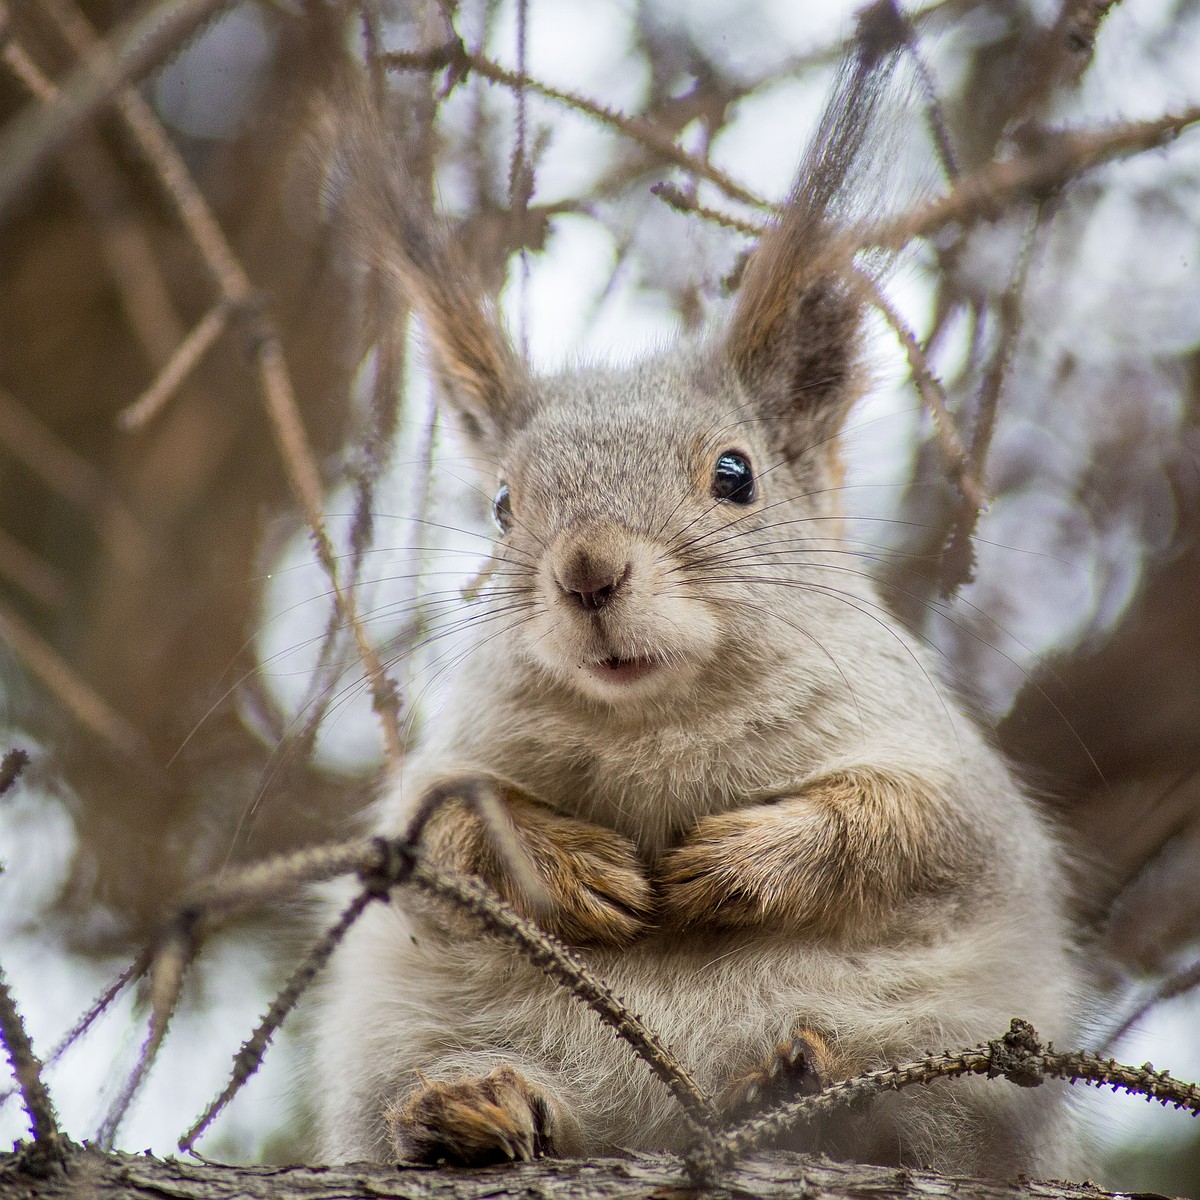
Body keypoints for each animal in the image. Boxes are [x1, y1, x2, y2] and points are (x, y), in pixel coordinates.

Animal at [314, 2, 1084, 1180]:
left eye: (736, 474)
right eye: (502, 503)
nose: (588, 569)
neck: (656, 725)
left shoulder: (958, 785)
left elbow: (909, 827)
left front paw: (735, 862)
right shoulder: (435, 780)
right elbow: (437, 842)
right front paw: (567, 866)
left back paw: (804, 1081)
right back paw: (471, 1107)